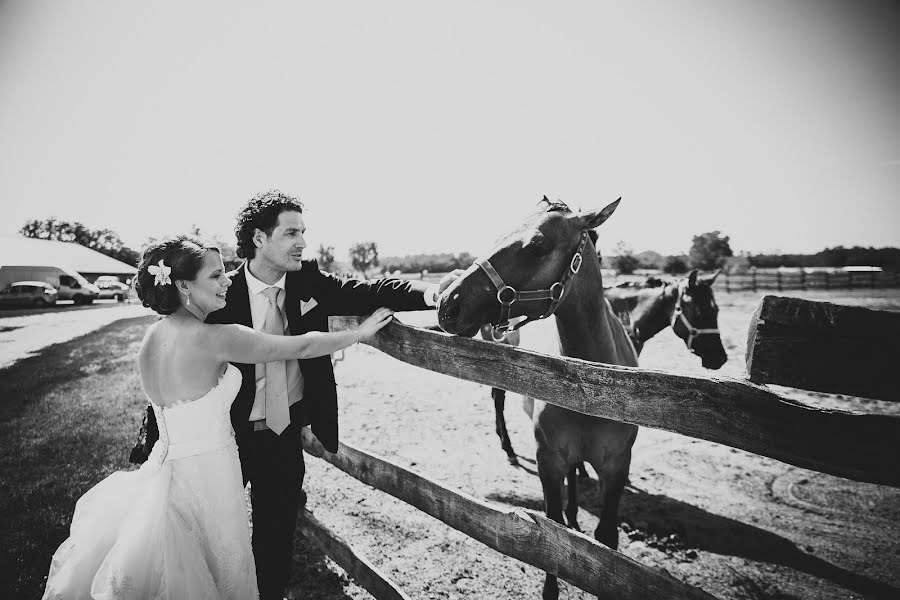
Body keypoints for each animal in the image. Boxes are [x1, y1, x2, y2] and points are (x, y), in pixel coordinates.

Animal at [438, 197, 636, 600]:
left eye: (536, 247)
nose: (448, 304)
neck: (597, 386)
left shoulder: (617, 467)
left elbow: (607, 540)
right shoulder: (549, 460)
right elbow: (552, 532)